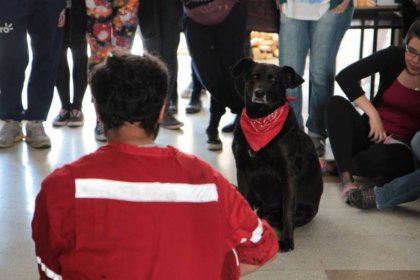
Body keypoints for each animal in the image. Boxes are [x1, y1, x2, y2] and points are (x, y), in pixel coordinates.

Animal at [231, 58, 324, 253]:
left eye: (274, 80)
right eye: (254, 76)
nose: (259, 93)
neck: (261, 120)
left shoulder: (288, 175)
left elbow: (287, 212)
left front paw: (287, 241)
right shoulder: (242, 168)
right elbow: (245, 200)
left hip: (302, 211)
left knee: (277, 216)